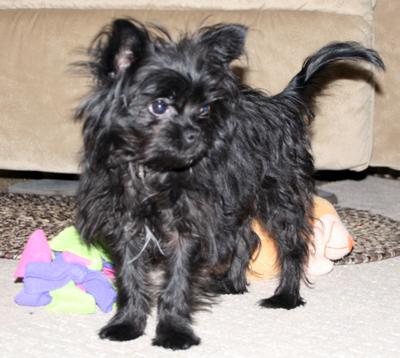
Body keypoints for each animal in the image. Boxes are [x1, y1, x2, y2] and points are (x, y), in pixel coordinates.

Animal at [75, 18, 384, 350]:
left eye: (205, 110)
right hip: (232, 202)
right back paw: (233, 282)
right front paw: (128, 324)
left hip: (280, 197)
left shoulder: (187, 227)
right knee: (247, 239)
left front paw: (173, 332)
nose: (198, 135)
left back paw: (286, 296)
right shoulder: (127, 227)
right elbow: (130, 278)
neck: (154, 171)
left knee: (293, 246)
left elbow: (176, 283)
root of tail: (279, 104)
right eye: (159, 106)